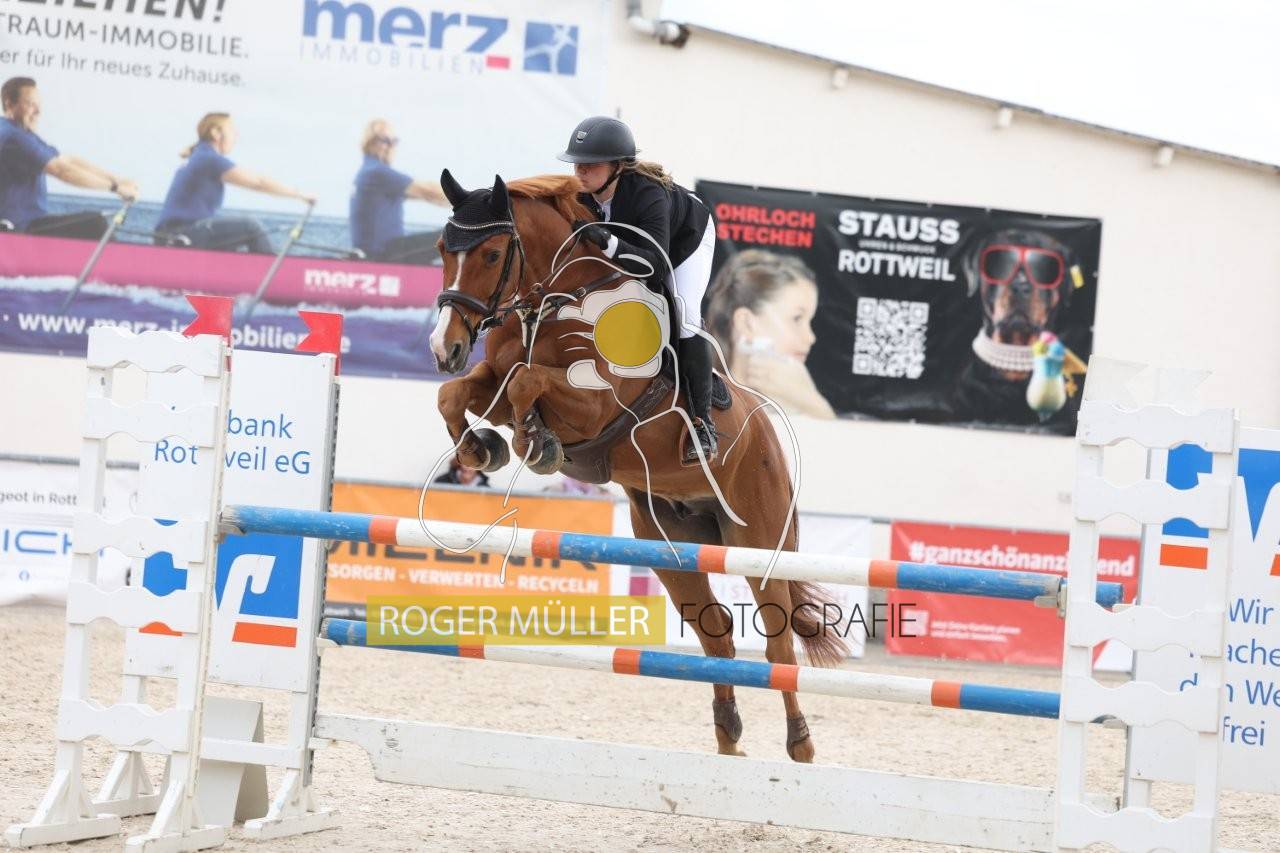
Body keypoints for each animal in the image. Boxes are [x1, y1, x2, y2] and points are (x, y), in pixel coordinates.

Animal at [427, 170, 847, 762]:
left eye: (490, 253)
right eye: (443, 249)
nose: (445, 347)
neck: (560, 303)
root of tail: (765, 430)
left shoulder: (596, 405)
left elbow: (528, 382)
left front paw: (536, 442)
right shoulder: (492, 377)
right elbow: (460, 393)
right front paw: (481, 448)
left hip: (762, 541)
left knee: (779, 643)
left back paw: (800, 745)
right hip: (667, 544)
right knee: (717, 632)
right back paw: (728, 738)